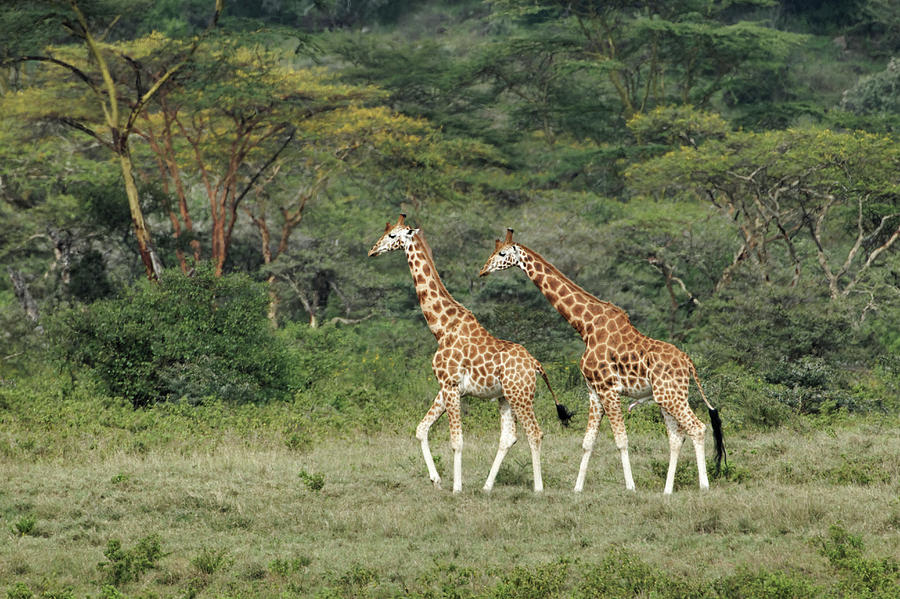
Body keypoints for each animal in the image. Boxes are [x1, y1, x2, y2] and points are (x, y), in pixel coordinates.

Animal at [370, 214, 572, 492]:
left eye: (392, 235)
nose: (372, 251)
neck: (441, 327)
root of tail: (537, 365)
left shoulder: (451, 385)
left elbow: (456, 441)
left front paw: (456, 488)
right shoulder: (448, 387)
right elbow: (421, 429)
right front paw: (436, 479)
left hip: (520, 395)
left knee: (535, 433)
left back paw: (538, 489)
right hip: (505, 398)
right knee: (509, 437)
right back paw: (487, 487)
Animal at [478, 227, 724, 494]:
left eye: (502, 253)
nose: (482, 270)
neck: (586, 326)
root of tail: (689, 363)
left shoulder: (608, 388)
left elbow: (621, 439)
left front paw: (630, 487)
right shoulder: (593, 391)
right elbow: (588, 442)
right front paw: (577, 489)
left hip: (671, 395)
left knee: (697, 428)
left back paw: (704, 486)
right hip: (666, 396)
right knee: (678, 436)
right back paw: (667, 490)